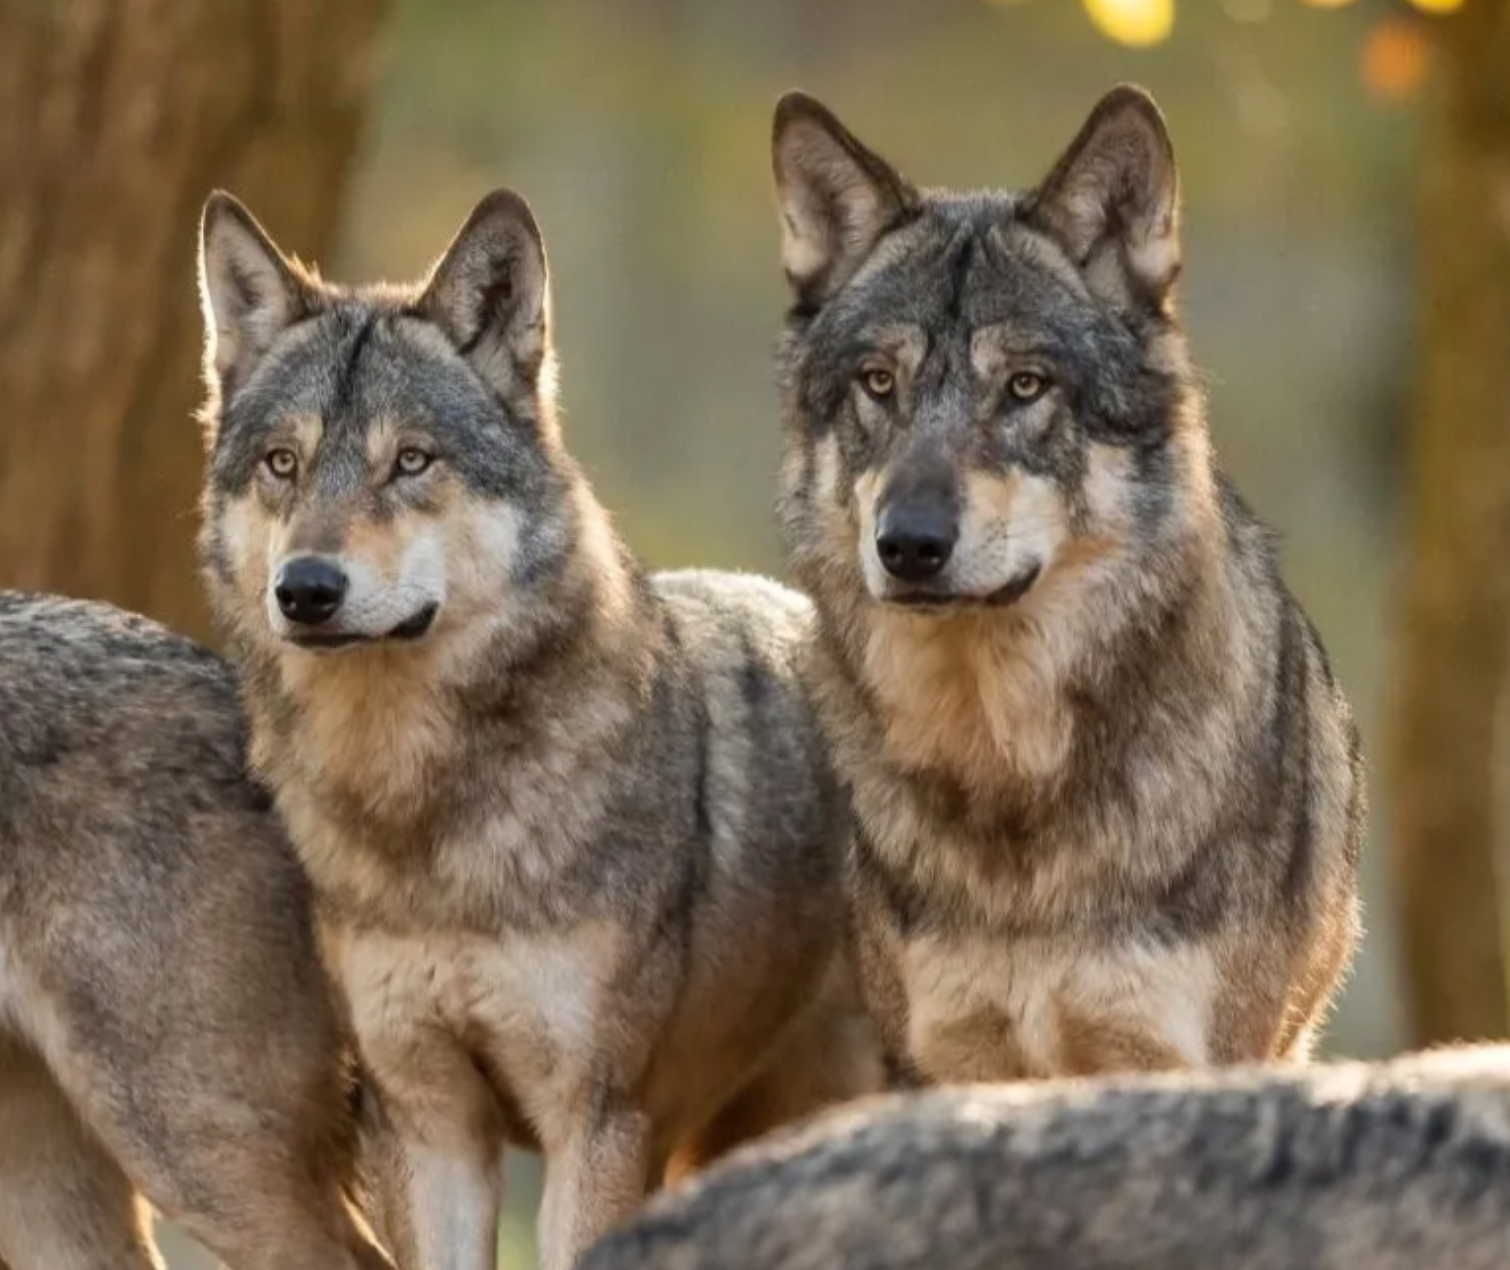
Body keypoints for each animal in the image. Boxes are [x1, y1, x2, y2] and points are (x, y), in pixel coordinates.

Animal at [197, 188, 881, 1268]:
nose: (304, 589)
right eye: (282, 465)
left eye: (411, 462)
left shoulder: (593, 1122)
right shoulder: (426, 1124)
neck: (431, 817)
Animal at [767, 84, 1371, 1087]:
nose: (909, 545)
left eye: (1024, 385)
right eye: (879, 383)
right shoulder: (937, 1064)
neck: (1010, 774)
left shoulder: (1171, 1058)